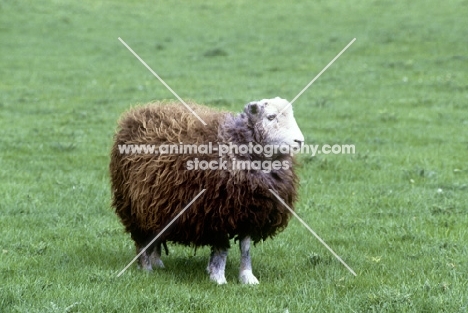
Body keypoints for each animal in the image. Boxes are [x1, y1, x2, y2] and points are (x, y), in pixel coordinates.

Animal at [110, 97, 306, 282]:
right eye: (270, 117)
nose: (300, 141)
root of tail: (137, 112)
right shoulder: (216, 213)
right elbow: (222, 248)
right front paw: (218, 277)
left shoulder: (249, 212)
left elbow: (245, 248)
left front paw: (247, 277)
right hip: (134, 205)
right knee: (142, 239)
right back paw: (146, 268)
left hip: (156, 205)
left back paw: (157, 262)